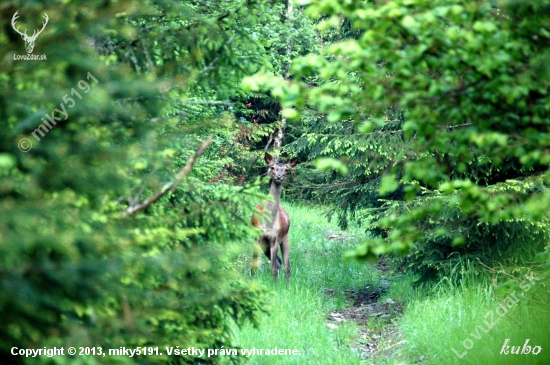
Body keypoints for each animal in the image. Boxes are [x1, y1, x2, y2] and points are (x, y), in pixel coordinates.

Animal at [252, 152, 300, 280]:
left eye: (286, 169)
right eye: (272, 167)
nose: (278, 177)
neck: (268, 223)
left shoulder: (275, 239)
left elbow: (273, 268)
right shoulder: (257, 237)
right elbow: (254, 265)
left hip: (285, 237)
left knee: (286, 266)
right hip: (265, 244)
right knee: (279, 262)